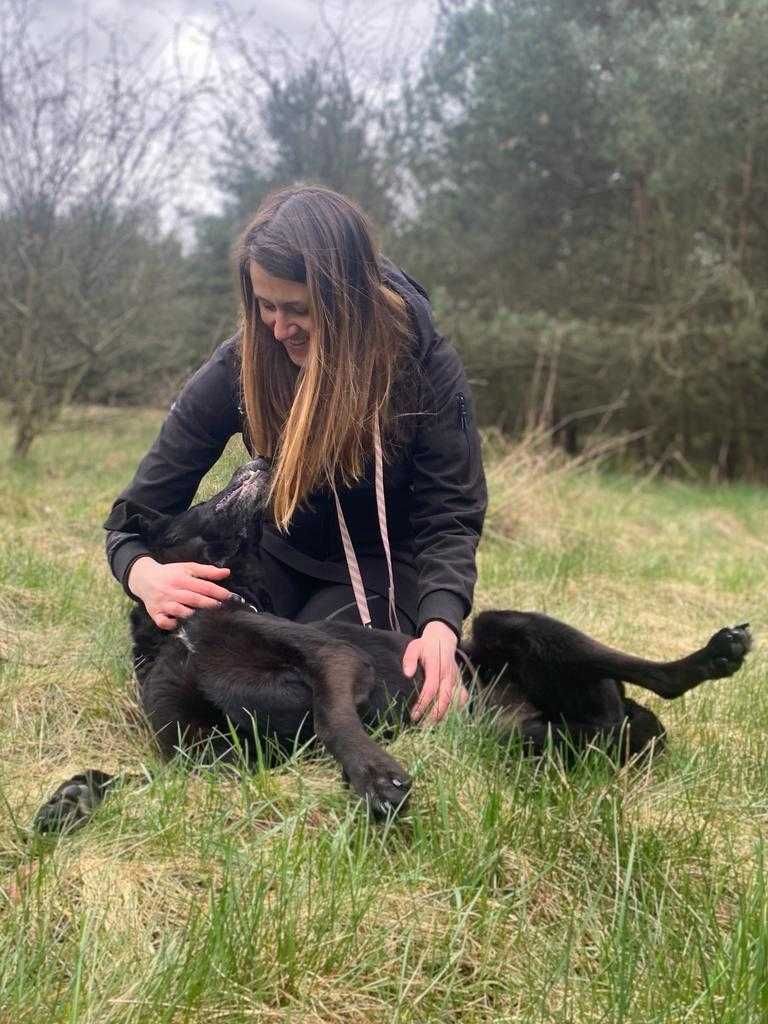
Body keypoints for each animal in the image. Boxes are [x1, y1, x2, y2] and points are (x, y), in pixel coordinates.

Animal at [34, 458, 753, 831]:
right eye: (210, 495)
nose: (259, 458)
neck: (187, 626)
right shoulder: (208, 755)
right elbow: (138, 776)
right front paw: (73, 797)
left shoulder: (332, 659)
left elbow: (333, 717)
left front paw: (374, 775)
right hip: (532, 732)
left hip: (508, 625)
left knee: (651, 675)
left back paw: (714, 655)